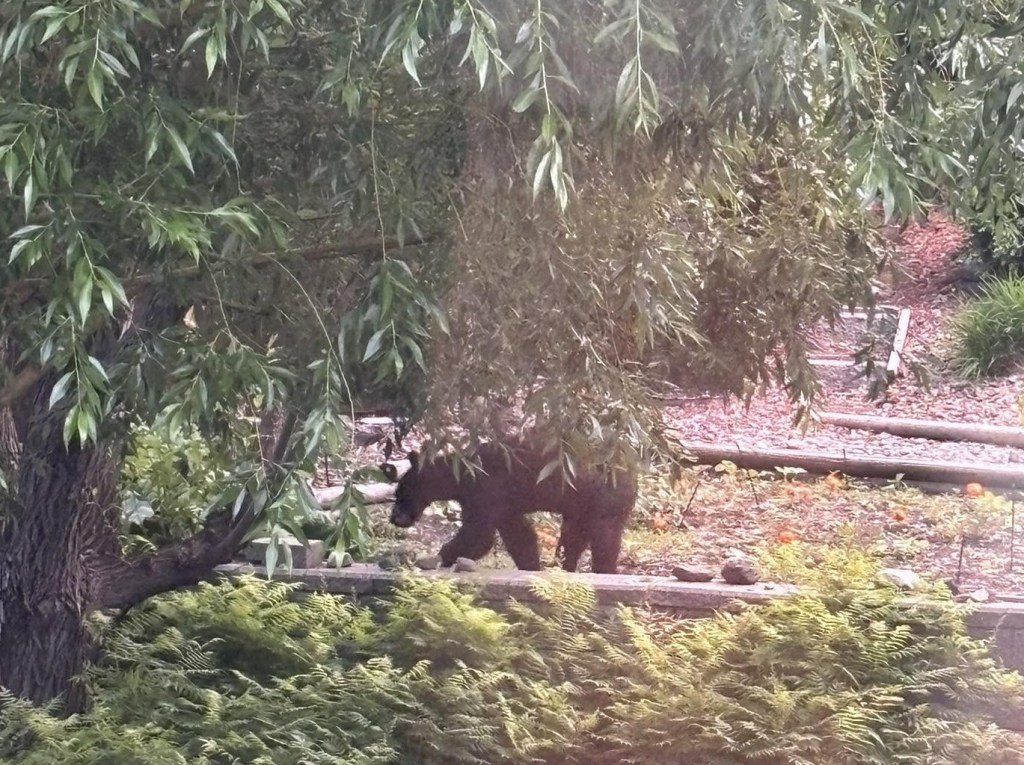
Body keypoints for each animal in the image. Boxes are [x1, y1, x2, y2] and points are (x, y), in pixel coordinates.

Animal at [382, 439, 636, 574]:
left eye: (400, 493)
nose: (394, 518)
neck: (461, 475)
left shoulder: (487, 492)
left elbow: (478, 534)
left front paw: (435, 558)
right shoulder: (504, 505)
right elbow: (519, 536)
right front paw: (531, 566)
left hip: (603, 500)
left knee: (604, 539)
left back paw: (604, 570)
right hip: (580, 506)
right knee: (572, 538)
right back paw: (565, 566)